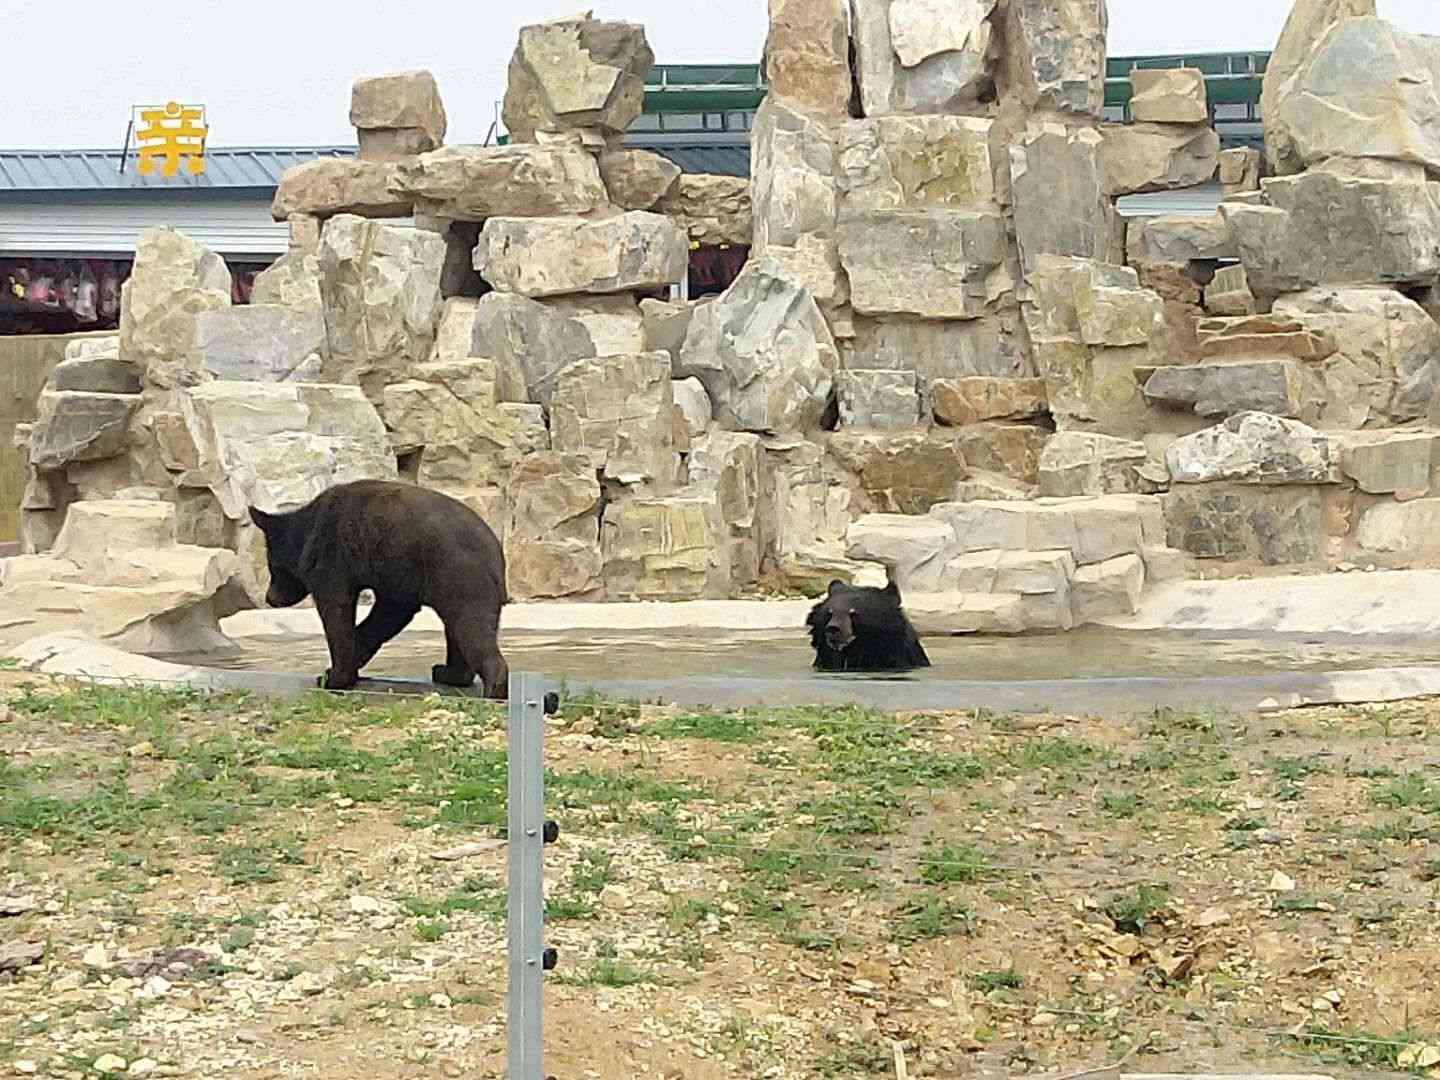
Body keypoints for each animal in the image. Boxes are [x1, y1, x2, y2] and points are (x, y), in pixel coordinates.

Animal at [249, 478, 512, 696]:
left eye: (273, 567)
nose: (270, 598)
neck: (307, 528)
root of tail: (495, 556)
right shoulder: (395, 571)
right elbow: (390, 612)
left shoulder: (333, 556)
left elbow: (336, 608)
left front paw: (333, 677)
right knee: (456, 628)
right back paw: (450, 674)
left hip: (458, 576)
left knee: (470, 626)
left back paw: (493, 687)